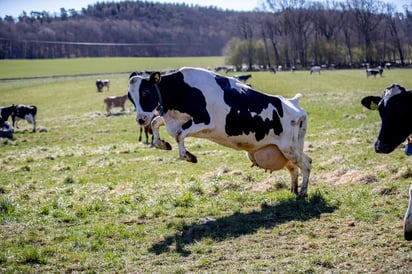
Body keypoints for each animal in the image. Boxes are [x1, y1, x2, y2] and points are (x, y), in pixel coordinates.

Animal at [129, 67, 312, 198]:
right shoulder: (172, 119)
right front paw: (162, 144)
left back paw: (302, 193)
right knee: (294, 168)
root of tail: (293, 103)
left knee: (307, 164)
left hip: (290, 147)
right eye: (131, 98)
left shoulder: (204, 121)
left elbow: (179, 134)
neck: (182, 90)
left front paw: (188, 156)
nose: (140, 119)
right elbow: (155, 123)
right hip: (284, 150)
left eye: (145, 92)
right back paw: (293, 190)